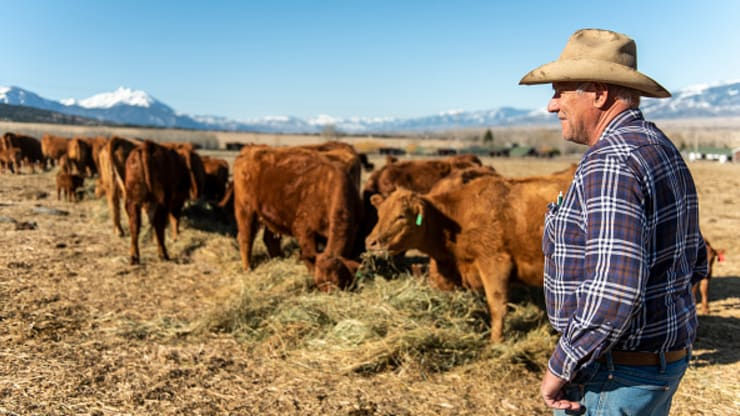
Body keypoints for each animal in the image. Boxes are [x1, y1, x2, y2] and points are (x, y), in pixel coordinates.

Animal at [231, 144, 358, 290]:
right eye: (320, 283)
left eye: (337, 281)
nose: (329, 292)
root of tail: (250, 148)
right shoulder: (303, 231)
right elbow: (309, 254)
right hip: (245, 210)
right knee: (245, 238)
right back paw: (247, 268)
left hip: (272, 216)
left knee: (270, 240)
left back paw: (279, 258)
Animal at [366, 164, 580, 342]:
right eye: (379, 213)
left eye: (401, 216)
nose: (370, 242)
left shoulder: (495, 262)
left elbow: (497, 306)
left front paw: (496, 342)